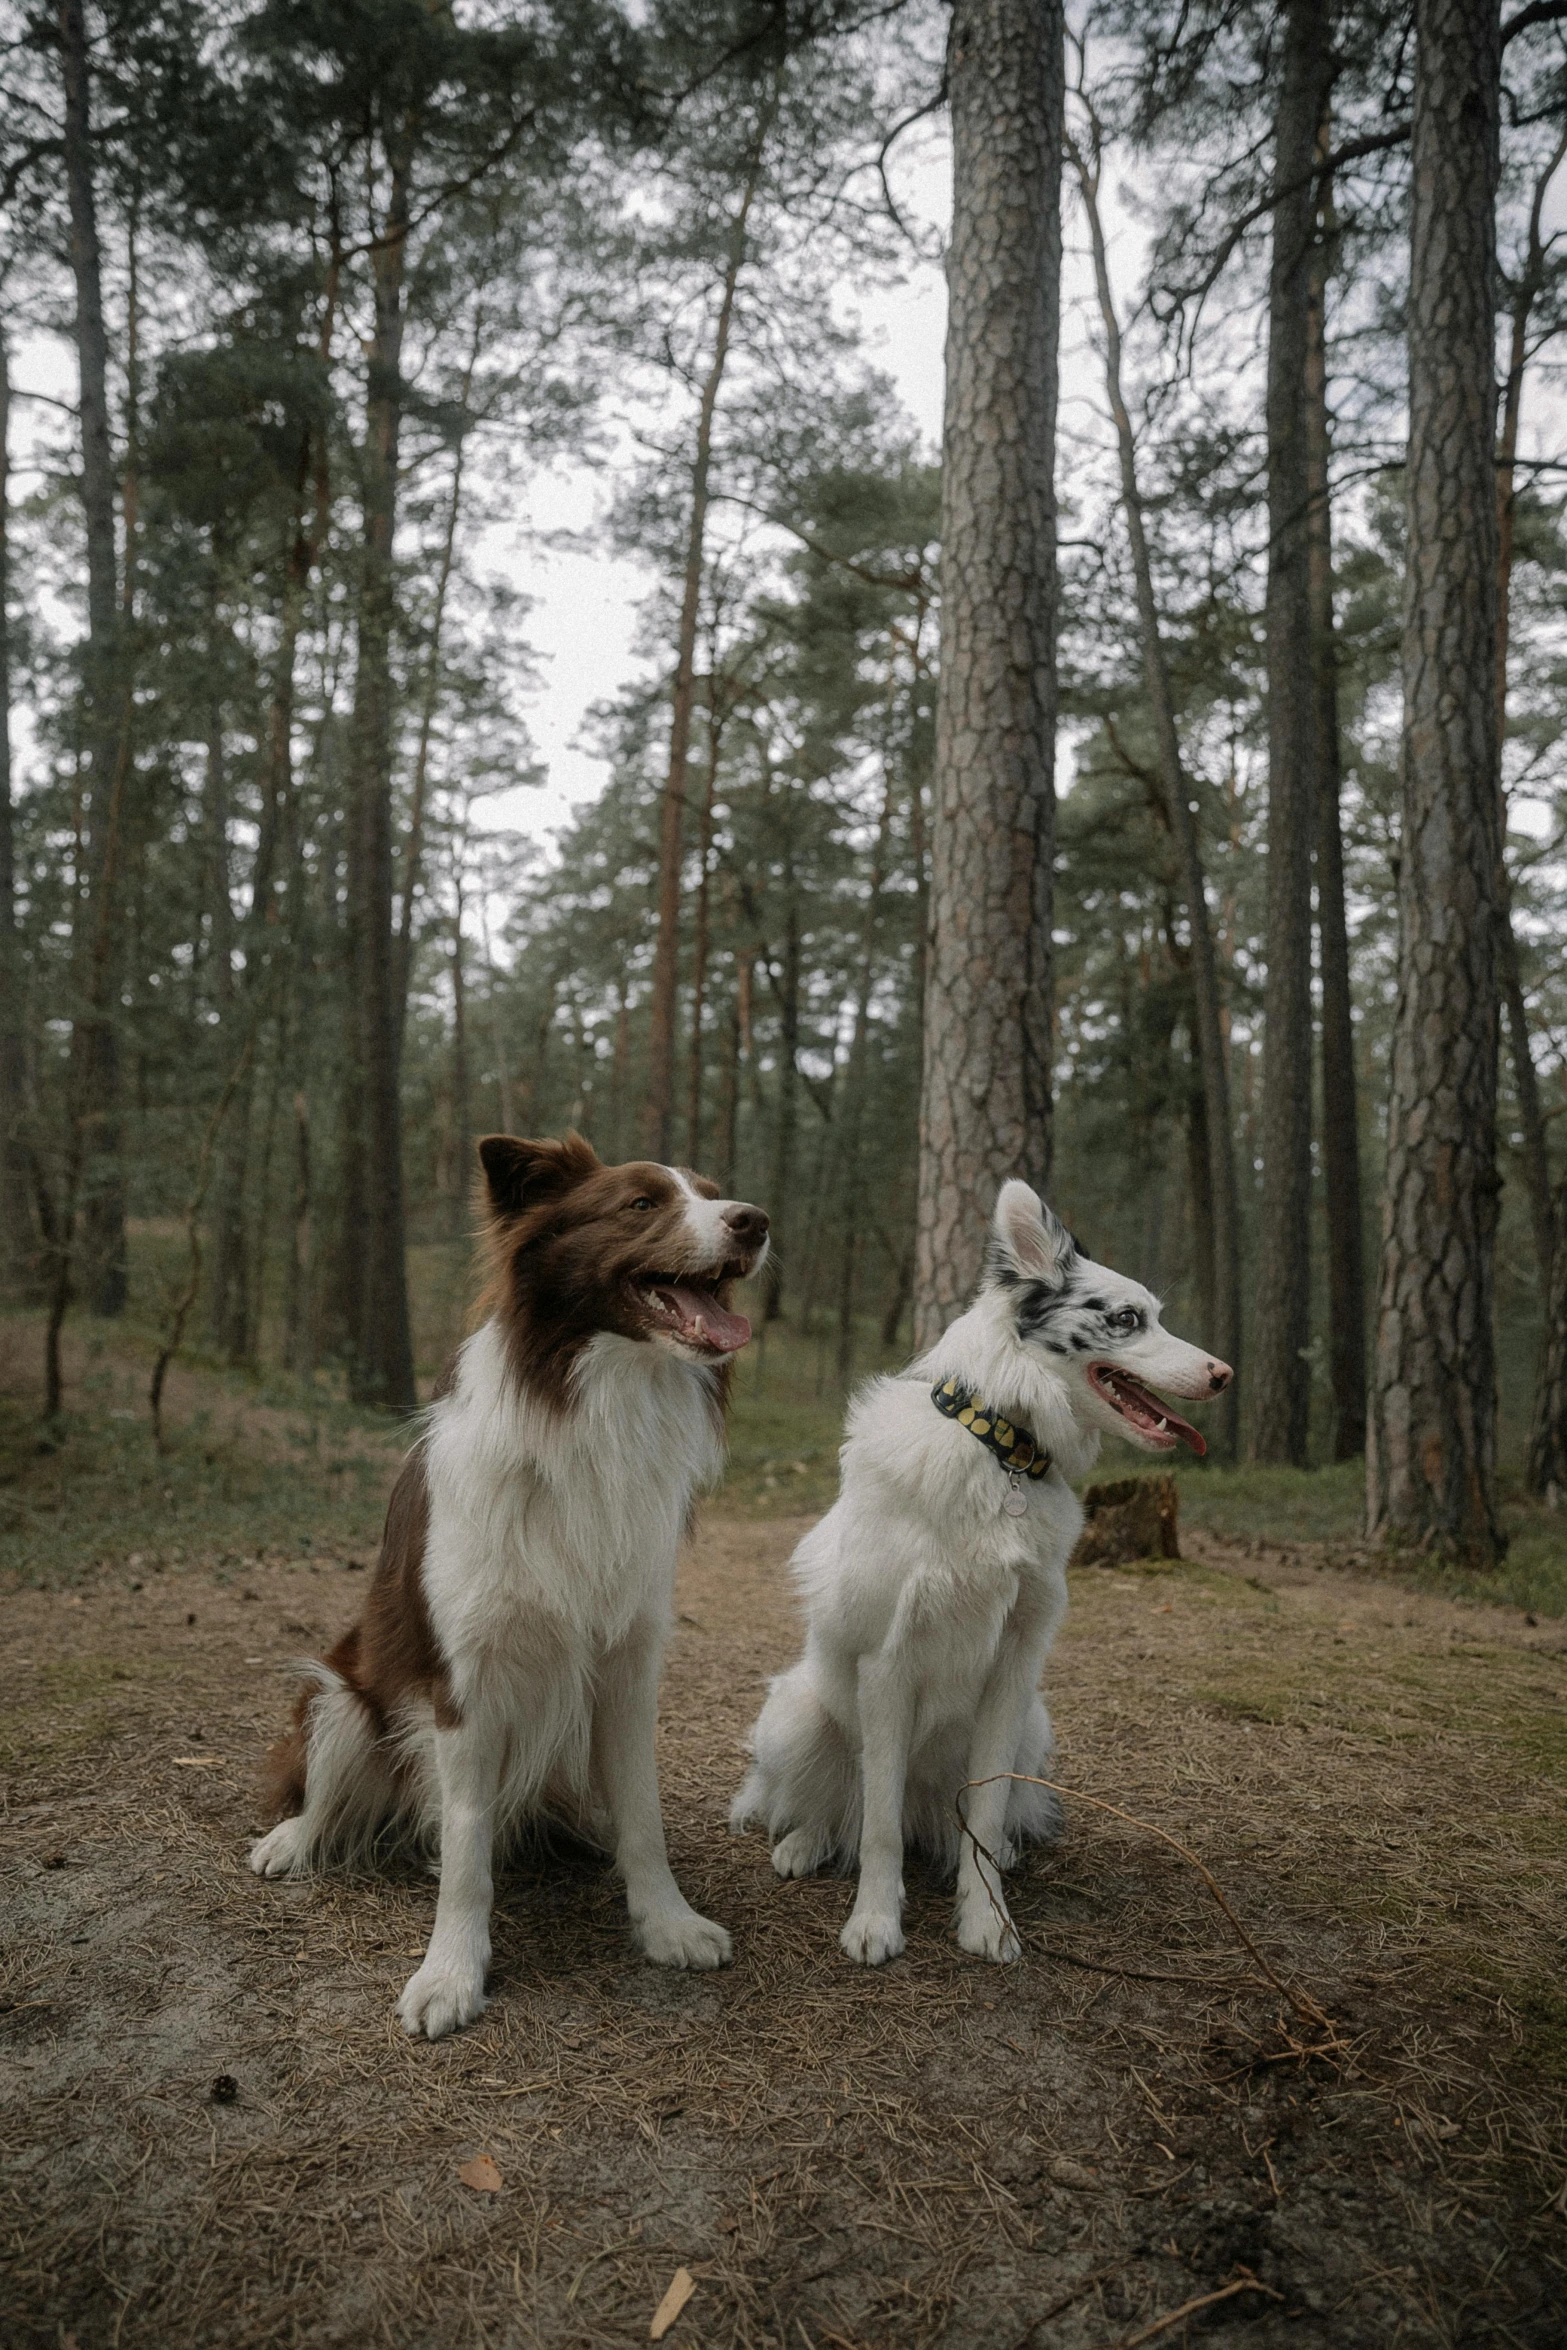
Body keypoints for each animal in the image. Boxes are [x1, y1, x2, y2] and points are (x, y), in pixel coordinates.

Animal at [246, 1132, 779, 2039]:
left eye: (713, 1193)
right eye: (641, 1204)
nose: (755, 1220)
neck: (597, 1408)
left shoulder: (628, 1664)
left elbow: (642, 1812)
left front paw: (665, 1921)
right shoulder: (464, 1680)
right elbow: (464, 1842)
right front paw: (451, 1972)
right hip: (342, 1694)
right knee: (325, 1787)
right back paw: (293, 1840)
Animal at [728, 1175, 1231, 1964]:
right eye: (1127, 1319)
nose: (1222, 1374)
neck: (1001, 1449)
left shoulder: (1013, 1670)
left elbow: (987, 1816)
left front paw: (986, 1918)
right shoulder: (887, 1665)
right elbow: (876, 1829)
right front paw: (875, 1921)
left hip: (1033, 1725)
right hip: (794, 1716)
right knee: (833, 1809)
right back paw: (804, 1844)